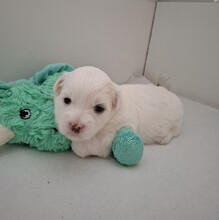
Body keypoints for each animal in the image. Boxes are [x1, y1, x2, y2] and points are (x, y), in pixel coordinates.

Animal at [53, 67, 183, 158]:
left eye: (99, 108)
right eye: (66, 100)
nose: (75, 126)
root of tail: (168, 91)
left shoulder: (106, 139)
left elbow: (82, 147)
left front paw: (73, 144)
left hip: (177, 122)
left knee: (174, 132)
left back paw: (164, 138)